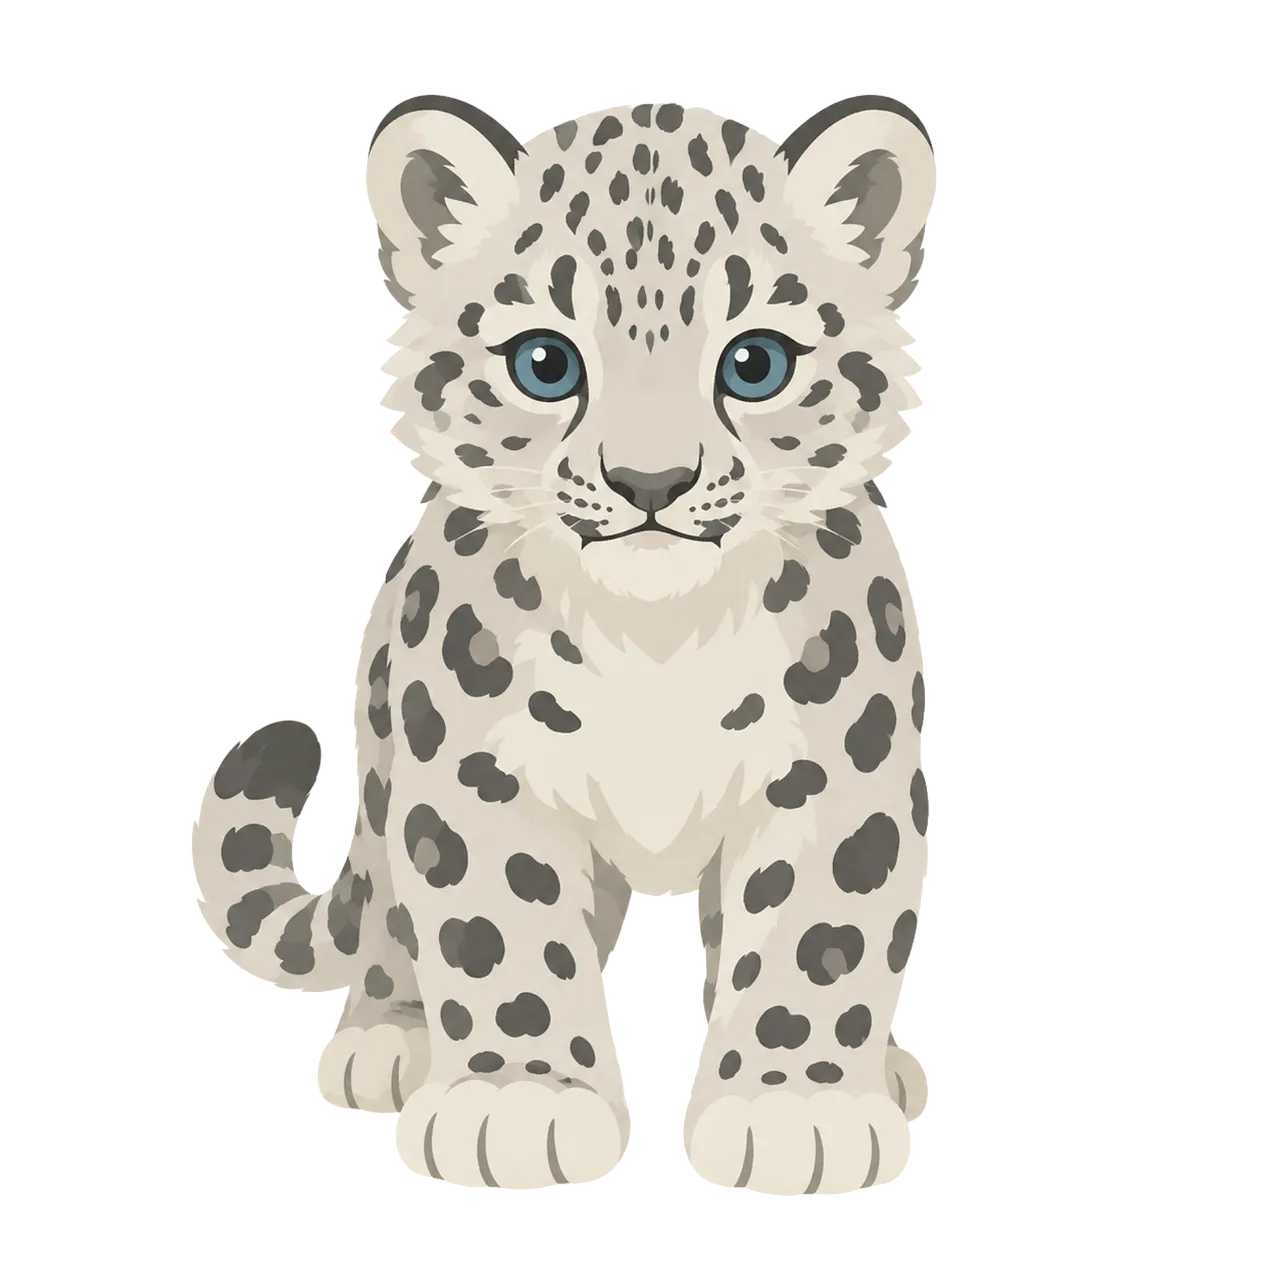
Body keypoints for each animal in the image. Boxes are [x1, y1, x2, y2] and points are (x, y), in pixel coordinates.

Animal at [190, 90, 937, 1196]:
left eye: (754, 363)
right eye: (544, 364)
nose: (650, 481)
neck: (658, 635)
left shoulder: (836, 764)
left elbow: (815, 932)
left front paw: (791, 1106)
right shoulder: (472, 767)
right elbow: (495, 929)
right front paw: (519, 1099)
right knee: (386, 917)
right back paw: (387, 1037)